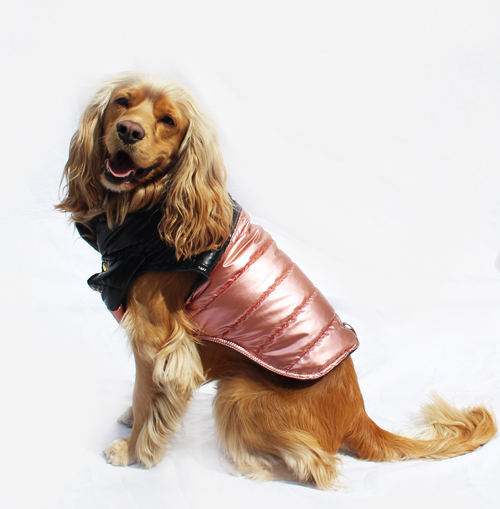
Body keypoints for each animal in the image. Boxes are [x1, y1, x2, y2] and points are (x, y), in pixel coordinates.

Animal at [57, 72, 497, 489]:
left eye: (168, 121)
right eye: (121, 101)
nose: (129, 130)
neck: (149, 212)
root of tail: (359, 415)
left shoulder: (157, 339)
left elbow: (148, 393)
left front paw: (133, 452)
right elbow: (143, 394)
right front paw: (132, 419)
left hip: (239, 394)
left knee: (317, 464)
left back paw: (251, 466)